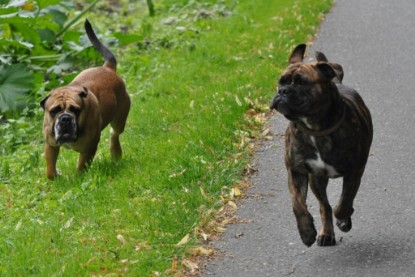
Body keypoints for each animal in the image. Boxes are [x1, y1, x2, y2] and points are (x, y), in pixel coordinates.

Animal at [40, 18, 130, 179]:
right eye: (54, 111)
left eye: (75, 110)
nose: (65, 118)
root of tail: (108, 68)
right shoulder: (50, 144)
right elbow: (50, 170)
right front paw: (56, 176)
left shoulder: (89, 148)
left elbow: (81, 167)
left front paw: (77, 179)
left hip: (120, 118)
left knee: (114, 133)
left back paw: (115, 152)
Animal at [270, 43, 374, 246]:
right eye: (281, 82)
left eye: (301, 83)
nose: (282, 91)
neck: (315, 129)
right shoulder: (296, 172)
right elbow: (298, 205)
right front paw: (306, 232)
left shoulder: (354, 171)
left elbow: (345, 201)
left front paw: (343, 219)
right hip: (316, 181)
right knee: (323, 205)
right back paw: (325, 233)